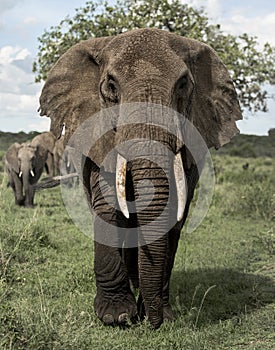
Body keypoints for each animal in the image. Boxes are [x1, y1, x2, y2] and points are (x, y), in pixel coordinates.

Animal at [39, 27, 244, 328]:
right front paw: (117, 316)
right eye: (111, 86)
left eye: (183, 84)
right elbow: (109, 207)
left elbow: (172, 215)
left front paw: (161, 315)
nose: (153, 322)